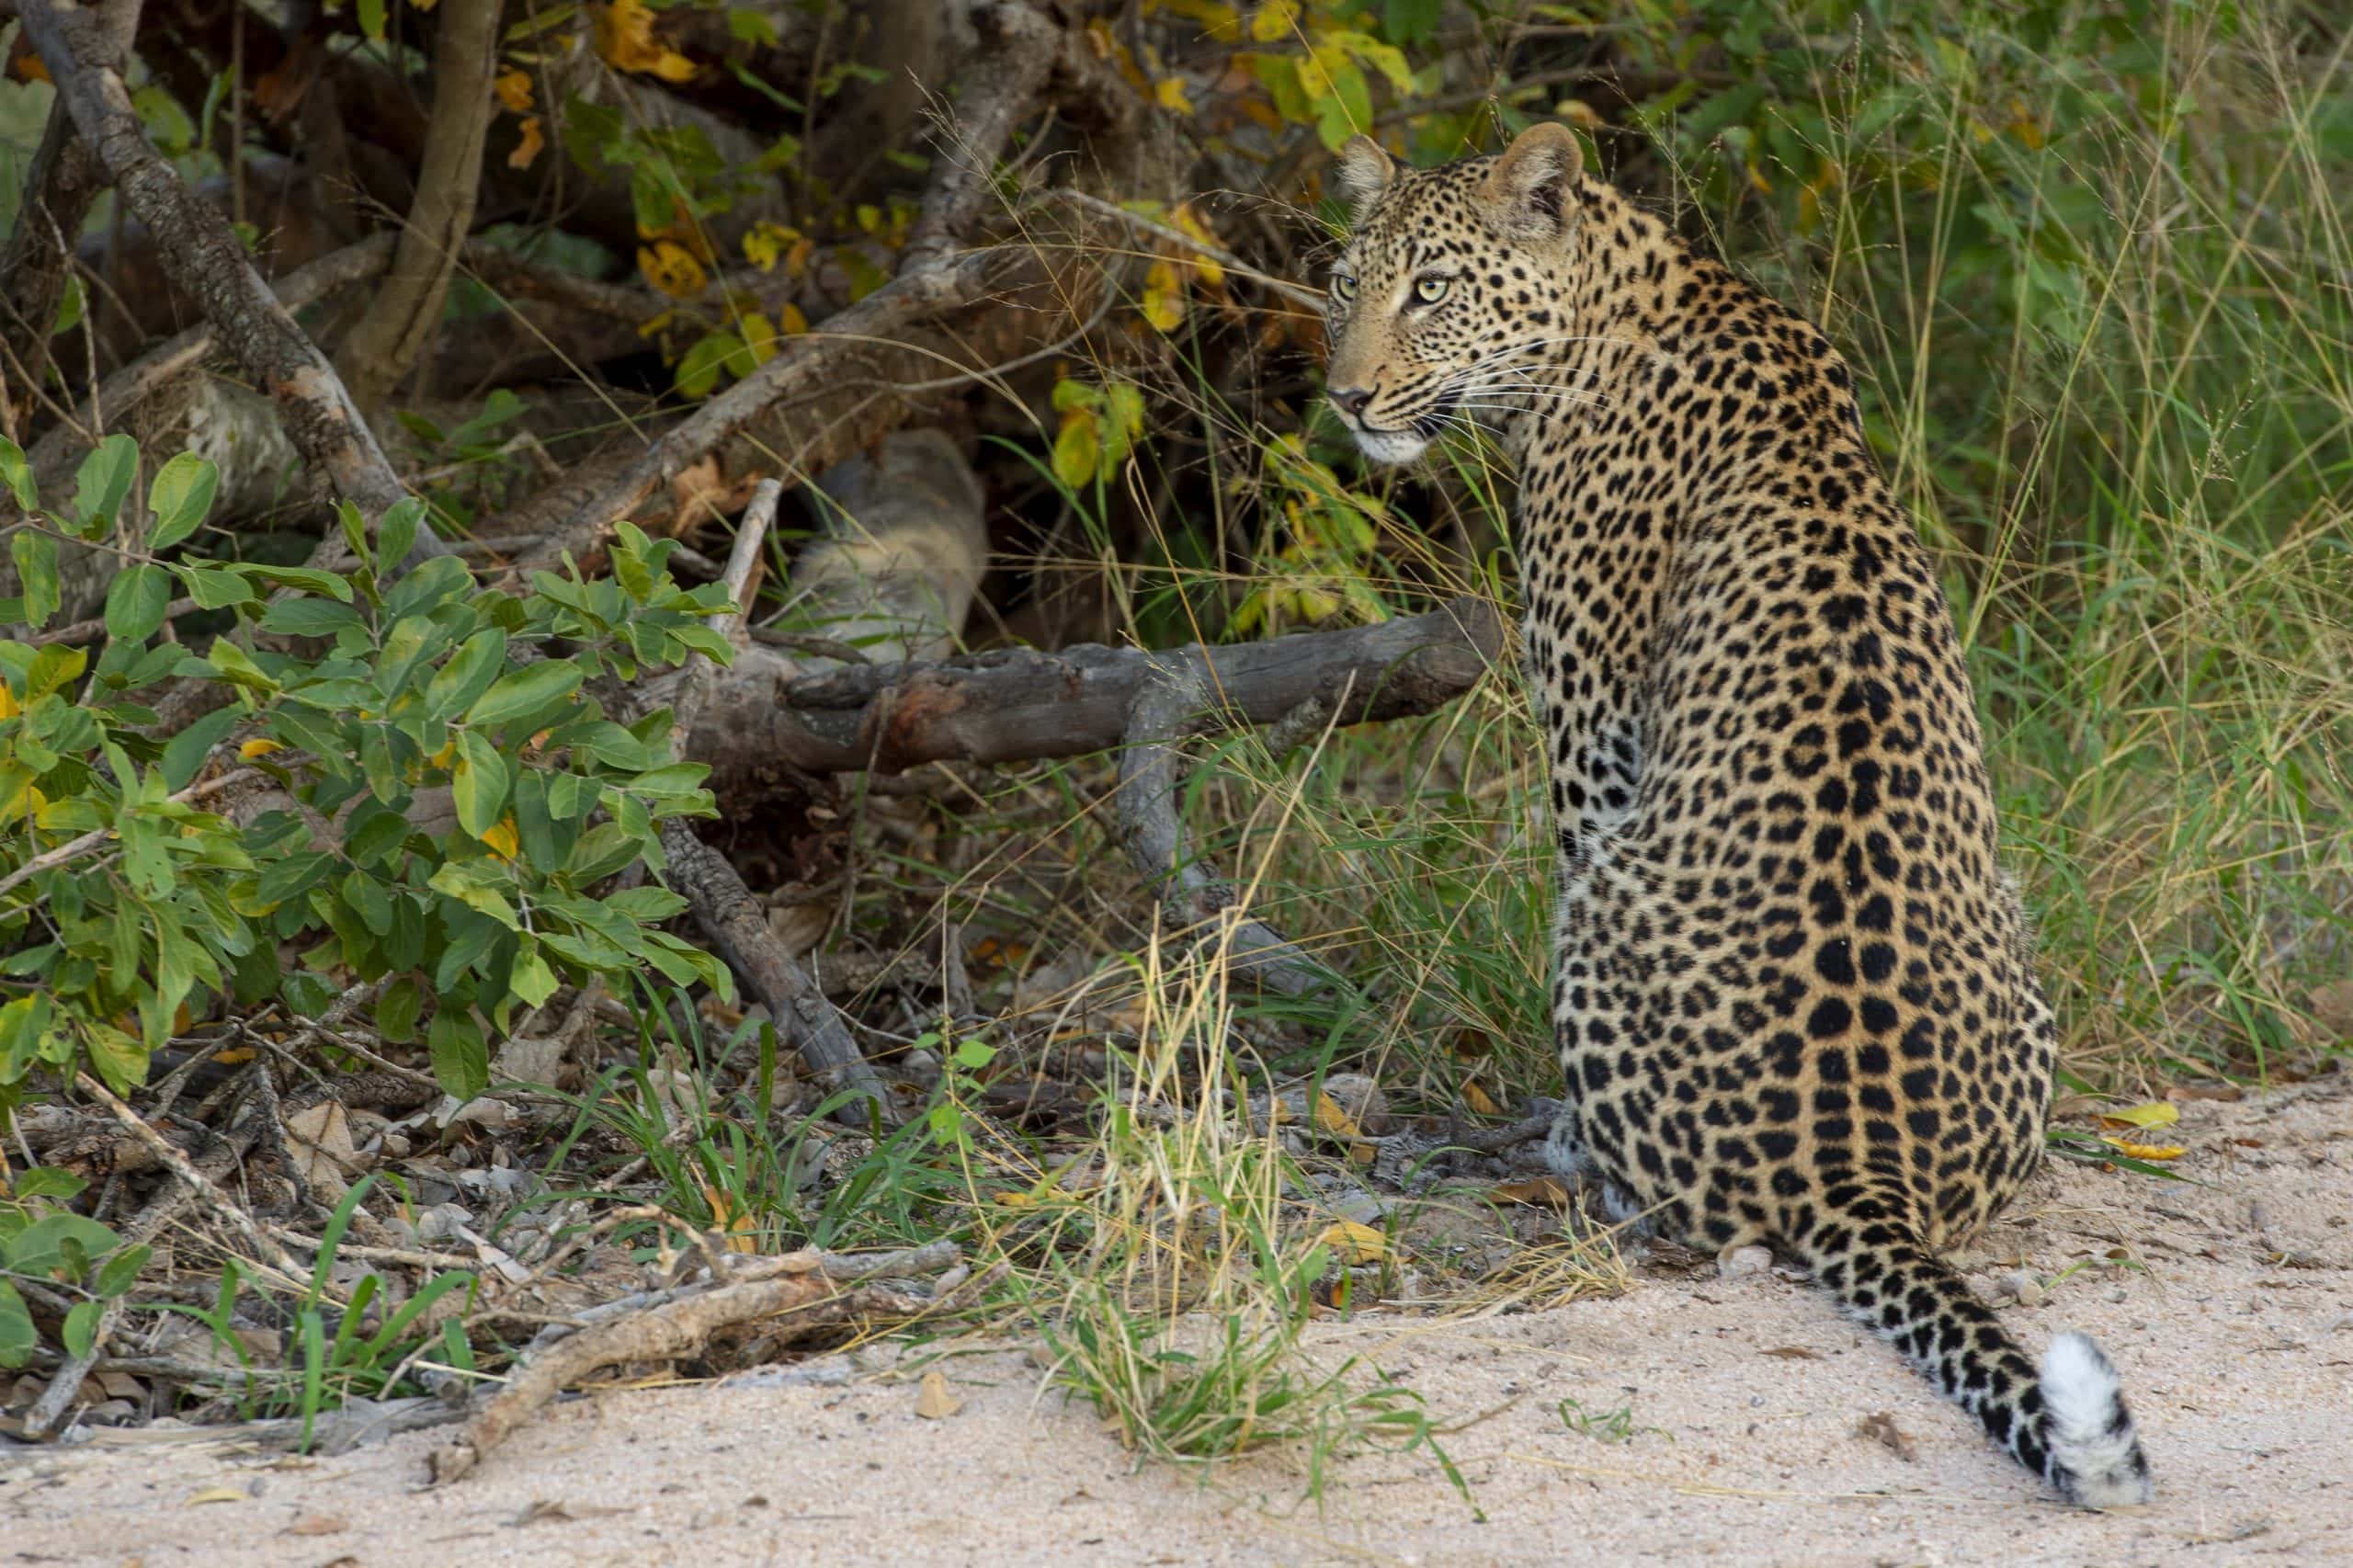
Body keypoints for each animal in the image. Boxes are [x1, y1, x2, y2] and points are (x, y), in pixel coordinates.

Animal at [1326, 125, 2154, 1506]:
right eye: (1346, 281)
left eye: (1431, 288)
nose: (1342, 397)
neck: (1618, 299)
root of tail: (1860, 1167)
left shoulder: (1595, 736)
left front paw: (1562, 1130)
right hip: (2018, 940)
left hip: (1603, 910)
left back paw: (1583, 1164)